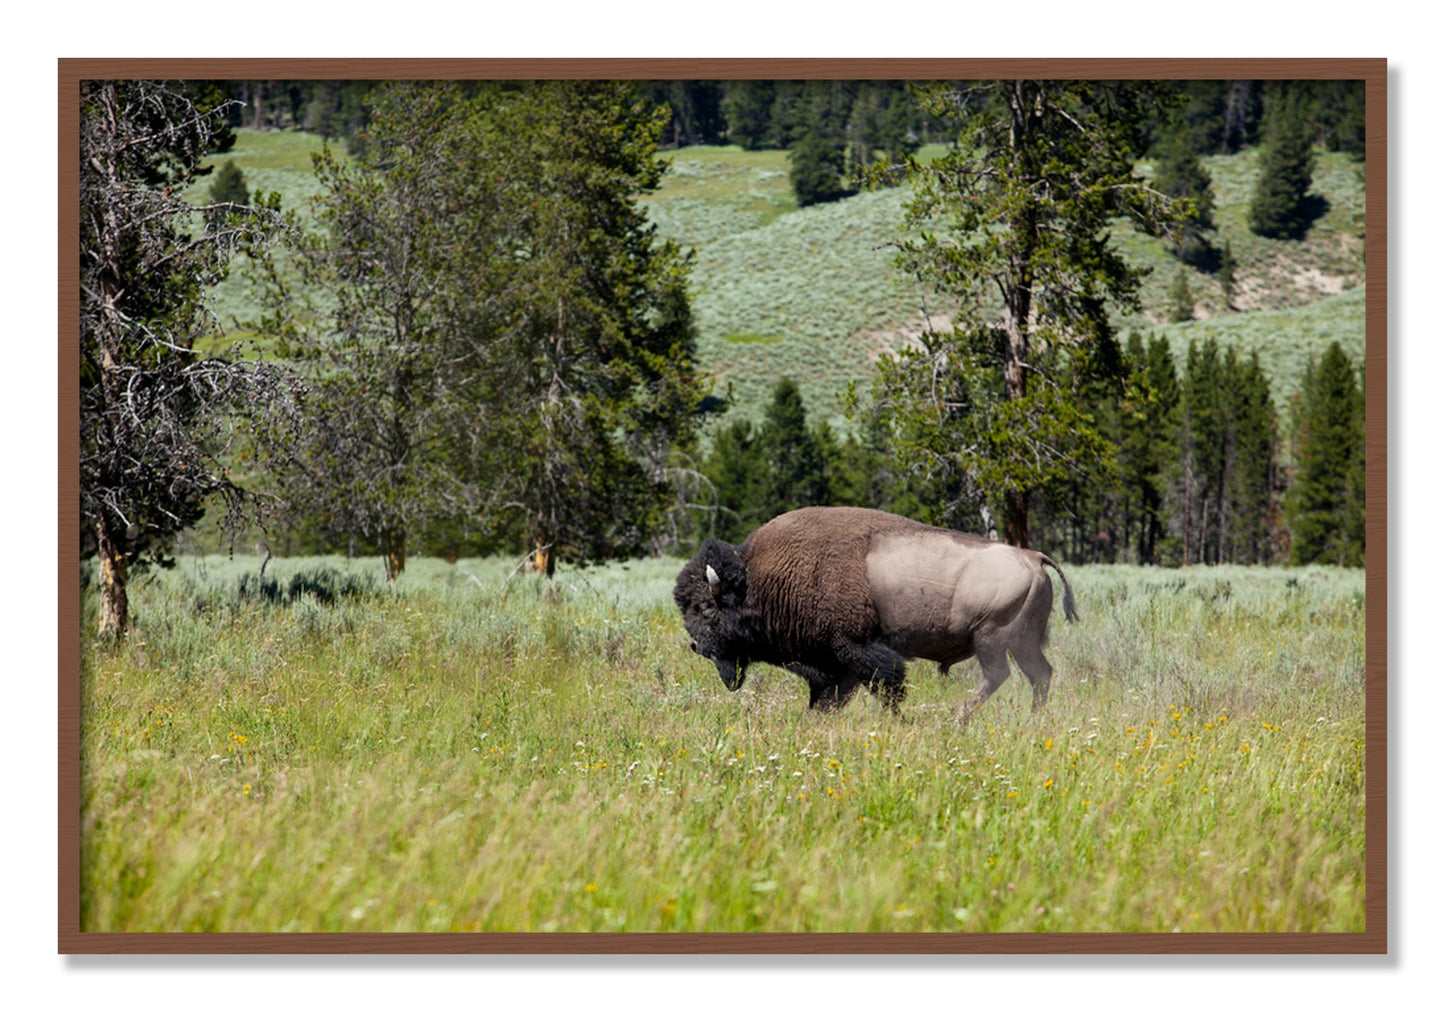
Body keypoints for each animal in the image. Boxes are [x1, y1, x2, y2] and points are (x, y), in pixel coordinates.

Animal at [674, 506, 1077, 717]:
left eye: (707, 609)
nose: (698, 647)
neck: (759, 579)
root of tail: (1033, 557)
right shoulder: (833, 665)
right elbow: (829, 698)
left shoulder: (857, 650)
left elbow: (886, 686)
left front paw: (897, 720)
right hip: (1022, 642)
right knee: (1039, 675)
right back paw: (1031, 719)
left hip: (991, 638)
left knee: (999, 675)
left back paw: (958, 718)